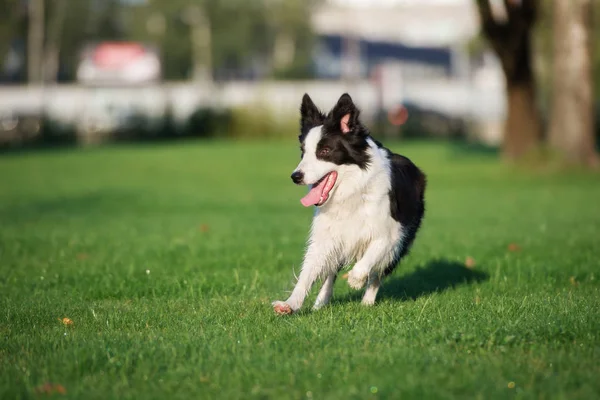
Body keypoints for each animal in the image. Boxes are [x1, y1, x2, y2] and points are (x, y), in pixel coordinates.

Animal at [274, 94, 426, 316]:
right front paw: (290, 304)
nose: (296, 176)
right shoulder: (326, 235)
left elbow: (372, 255)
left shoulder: (392, 233)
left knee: (377, 274)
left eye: (325, 150)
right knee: (330, 273)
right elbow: (308, 271)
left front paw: (356, 279)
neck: (351, 192)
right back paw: (320, 303)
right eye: (303, 152)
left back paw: (366, 302)